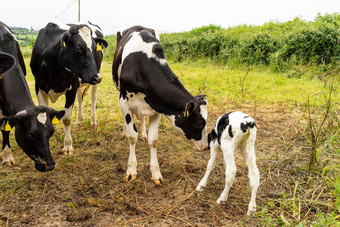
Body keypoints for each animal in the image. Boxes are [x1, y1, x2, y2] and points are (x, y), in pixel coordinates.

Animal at [31, 21, 107, 154]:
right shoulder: (39, 87)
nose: (97, 77)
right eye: (78, 48)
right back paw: (79, 120)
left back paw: (93, 121)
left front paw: (67, 146)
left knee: (93, 98)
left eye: (94, 49)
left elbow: (66, 119)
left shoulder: (71, 88)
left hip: (97, 74)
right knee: (80, 98)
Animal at [112, 25, 207, 184]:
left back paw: (143, 133)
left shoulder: (156, 106)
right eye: (200, 124)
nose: (206, 147)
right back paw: (126, 131)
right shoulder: (124, 101)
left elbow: (153, 140)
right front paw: (131, 170)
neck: (141, 66)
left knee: (142, 119)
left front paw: (156, 173)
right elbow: (132, 136)